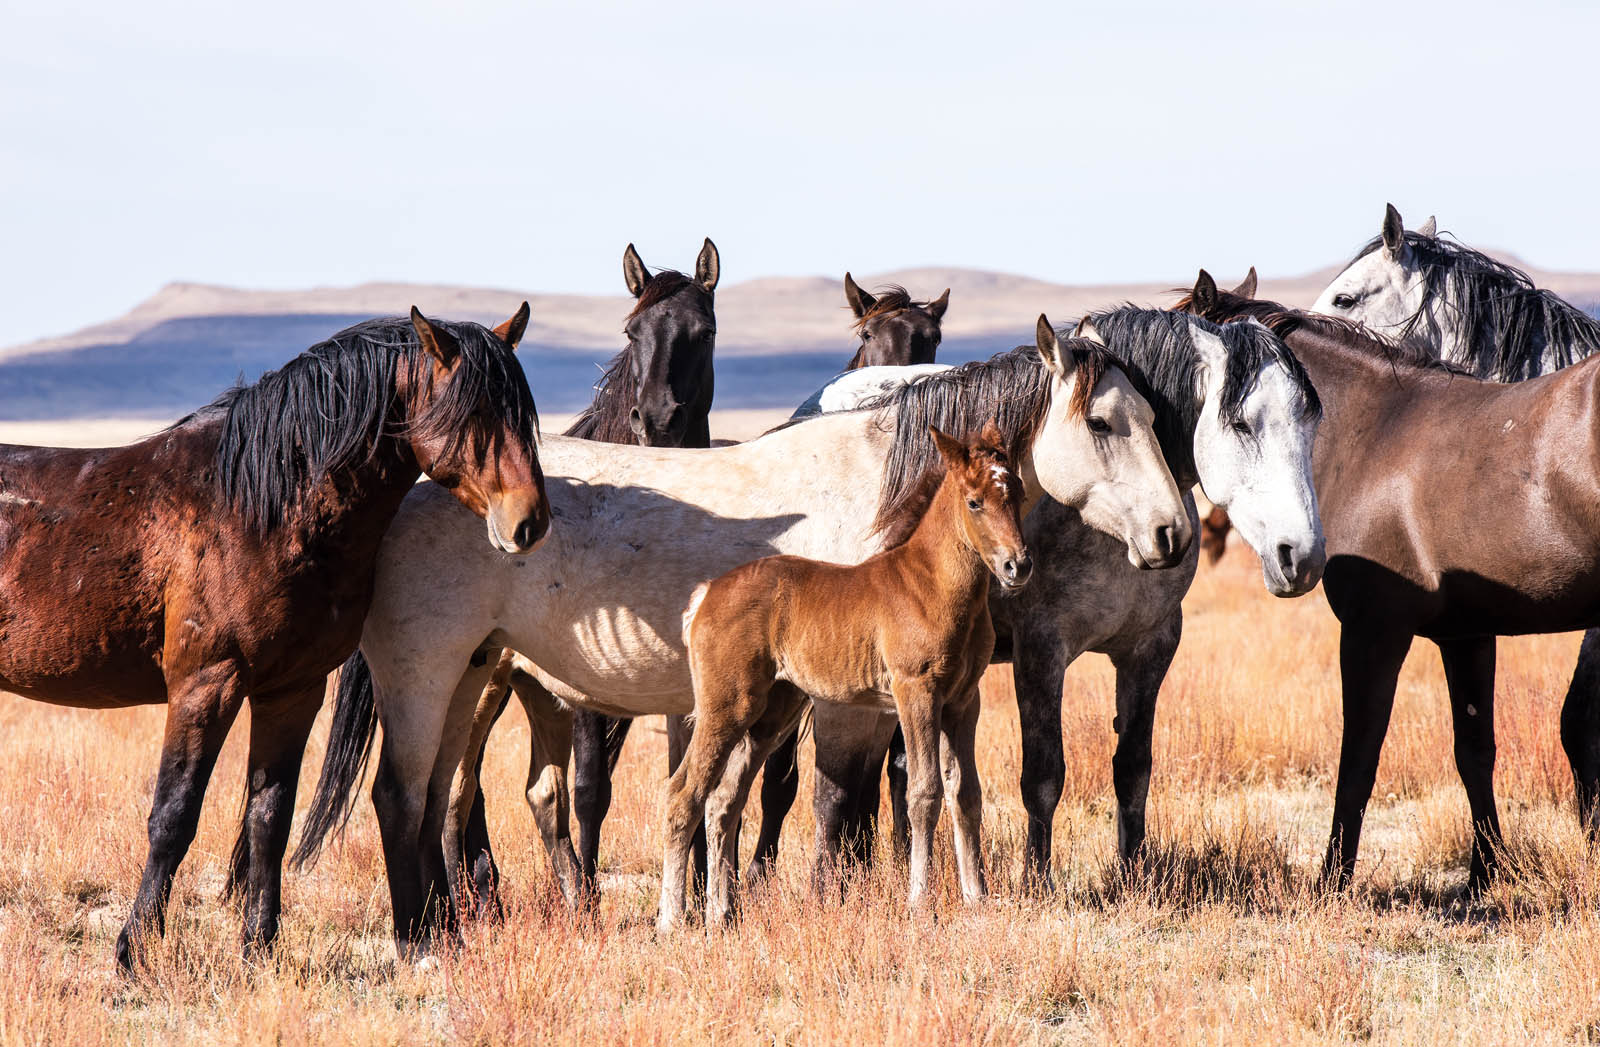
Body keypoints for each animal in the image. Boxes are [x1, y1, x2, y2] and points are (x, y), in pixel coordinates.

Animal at [0, 307, 547, 973]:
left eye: (522, 413)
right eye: (475, 413)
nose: (530, 522)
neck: (260, 507)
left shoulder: (292, 690)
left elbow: (269, 817)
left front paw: (259, 947)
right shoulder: (205, 685)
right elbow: (174, 817)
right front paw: (134, 950)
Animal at [656, 422, 1030, 928]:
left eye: (1019, 494)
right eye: (975, 502)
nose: (1018, 565)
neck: (932, 584)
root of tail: (705, 595)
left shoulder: (962, 702)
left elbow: (966, 794)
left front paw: (978, 898)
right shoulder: (916, 691)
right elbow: (924, 792)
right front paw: (920, 902)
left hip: (772, 714)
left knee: (724, 800)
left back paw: (723, 913)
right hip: (726, 707)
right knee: (683, 795)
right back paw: (672, 919)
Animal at [1184, 270, 1600, 896]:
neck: (1375, 436)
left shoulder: (1373, 633)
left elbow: (1358, 758)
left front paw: (1331, 881)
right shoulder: (1467, 636)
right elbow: (1474, 751)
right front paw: (1485, 874)